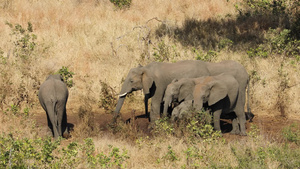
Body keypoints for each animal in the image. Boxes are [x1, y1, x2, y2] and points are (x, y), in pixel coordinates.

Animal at [114, 60, 248, 135]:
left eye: (131, 81)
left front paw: (152, 127)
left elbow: (156, 103)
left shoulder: (158, 84)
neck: (146, 68)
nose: (112, 124)